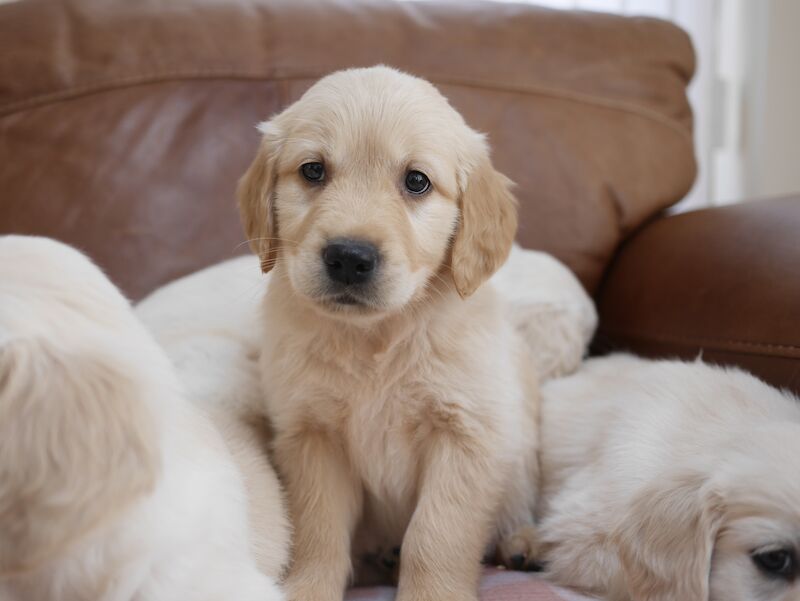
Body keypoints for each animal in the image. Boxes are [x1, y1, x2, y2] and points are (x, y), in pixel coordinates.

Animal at [236, 67, 536, 600]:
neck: (375, 337)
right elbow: (319, 529)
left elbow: (435, 534)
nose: (348, 257)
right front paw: (308, 587)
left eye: (417, 181)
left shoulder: (466, 433)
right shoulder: (311, 435)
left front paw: (432, 594)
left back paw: (522, 541)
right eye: (313, 171)